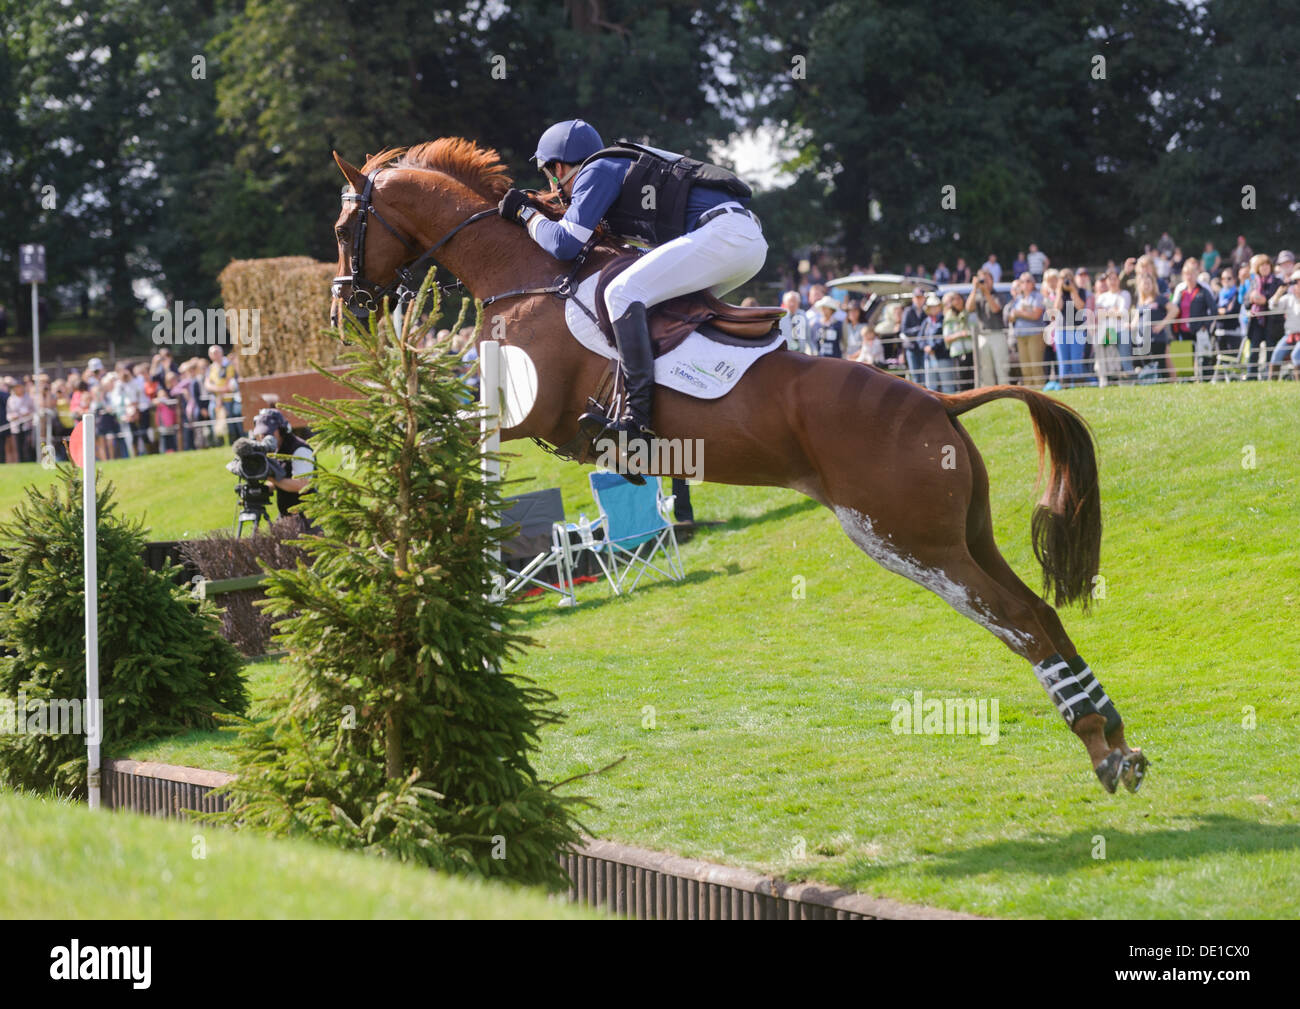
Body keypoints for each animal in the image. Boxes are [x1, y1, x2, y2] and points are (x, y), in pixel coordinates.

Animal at [327, 137, 1149, 790]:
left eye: (344, 227)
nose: (345, 310)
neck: (524, 273)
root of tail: (938, 402)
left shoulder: (524, 411)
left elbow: (447, 420)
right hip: (960, 534)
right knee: (1038, 610)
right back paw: (1115, 737)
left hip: (907, 540)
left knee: (1018, 621)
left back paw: (1102, 748)